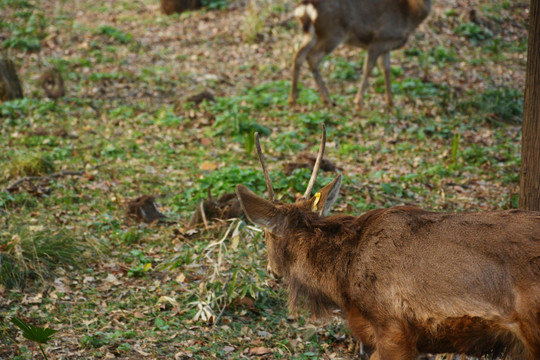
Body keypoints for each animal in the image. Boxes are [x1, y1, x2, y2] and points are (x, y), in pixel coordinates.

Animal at [288, 0, 432, 109]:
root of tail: (307, 6)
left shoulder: (386, 45)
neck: (408, 15)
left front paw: (390, 102)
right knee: (312, 57)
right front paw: (358, 102)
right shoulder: (377, 41)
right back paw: (327, 99)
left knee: (298, 55)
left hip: (312, 35)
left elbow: (386, 69)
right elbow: (368, 68)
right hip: (332, 33)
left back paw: (293, 98)